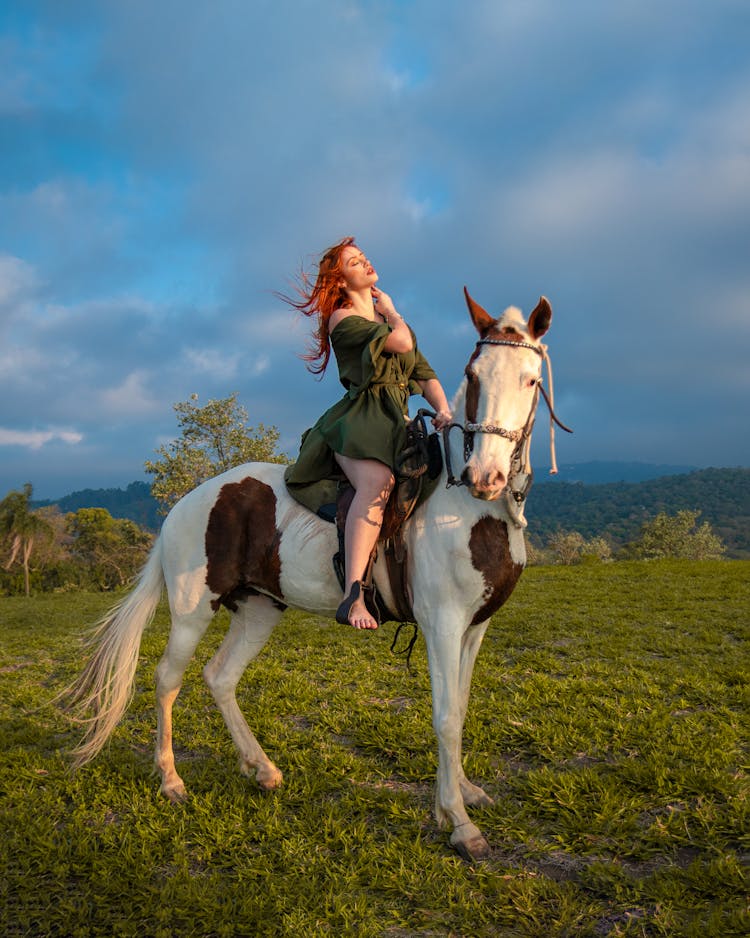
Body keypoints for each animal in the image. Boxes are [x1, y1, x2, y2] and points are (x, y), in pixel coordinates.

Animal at [66, 288, 568, 860]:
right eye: (474, 373)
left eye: (531, 379)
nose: (487, 476)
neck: (470, 509)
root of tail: (184, 505)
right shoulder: (441, 624)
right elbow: (444, 718)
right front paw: (458, 823)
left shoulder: (474, 628)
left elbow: (459, 708)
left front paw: (463, 793)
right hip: (193, 611)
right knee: (168, 678)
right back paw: (171, 779)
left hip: (259, 609)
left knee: (220, 677)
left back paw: (261, 769)